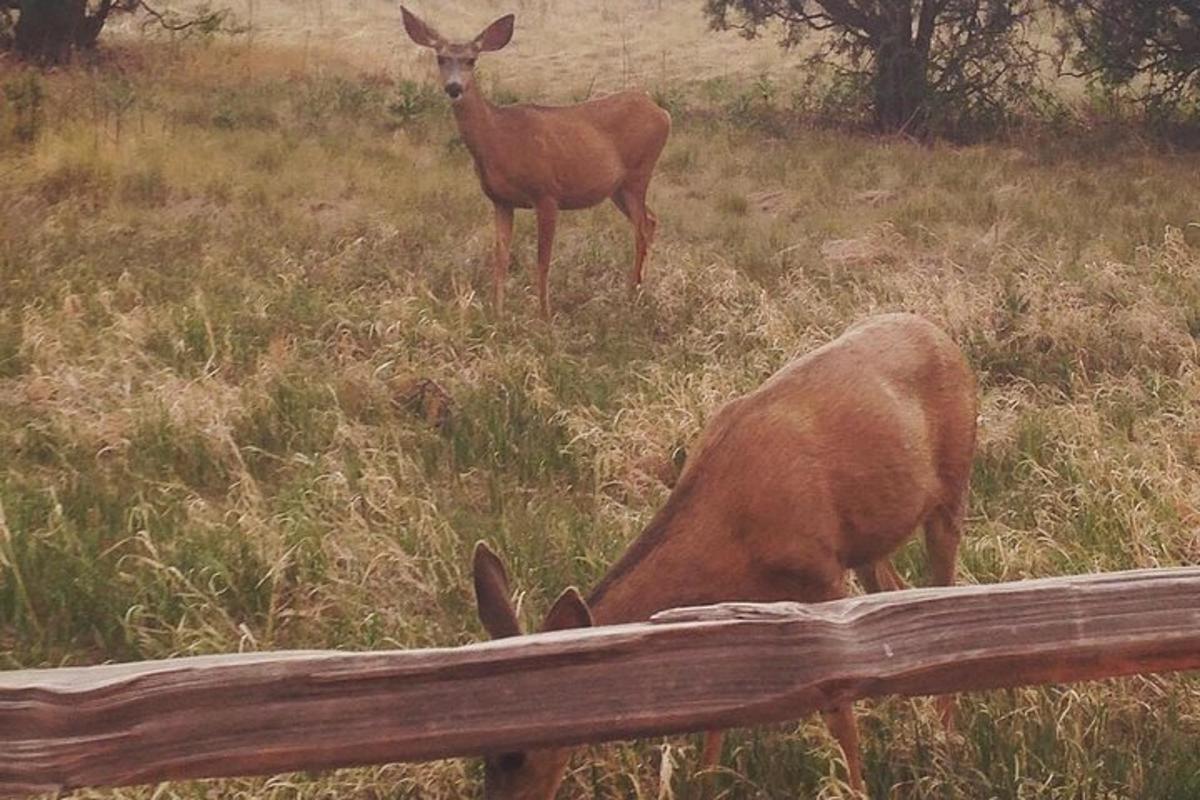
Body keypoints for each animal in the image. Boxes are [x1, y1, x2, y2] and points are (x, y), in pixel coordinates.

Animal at [398, 8, 672, 319]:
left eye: (471, 60)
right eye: (441, 58)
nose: (454, 87)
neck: (499, 140)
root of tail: (662, 112)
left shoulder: (547, 193)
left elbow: (543, 260)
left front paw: (544, 316)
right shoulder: (501, 200)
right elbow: (501, 257)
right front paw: (497, 313)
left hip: (639, 173)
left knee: (642, 227)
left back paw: (631, 296)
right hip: (618, 188)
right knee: (651, 220)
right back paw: (638, 290)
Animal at [468, 314, 974, 800]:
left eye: (517, 753)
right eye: (482, 753)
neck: (729, 531)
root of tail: (941, 334)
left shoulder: (821, 575)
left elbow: (838, 712)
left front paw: (855, 788)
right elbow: (720, 707)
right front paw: (705, 783)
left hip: (951, 489)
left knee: (943, 590)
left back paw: (946, 742)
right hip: (869, 541)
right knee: (896, 594)